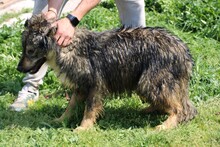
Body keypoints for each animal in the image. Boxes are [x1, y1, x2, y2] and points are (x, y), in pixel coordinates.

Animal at [17, 14, 198, 130]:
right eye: (24, 49)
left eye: (31, 51)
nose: (19, 68)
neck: (68, 47)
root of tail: (184, 52)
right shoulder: (81, 86)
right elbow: (70, 106)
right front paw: (61, 120)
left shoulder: (96, 85)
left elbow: (89, 110)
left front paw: (83, 128)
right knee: (183, 107)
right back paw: (151, 110)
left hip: (149, 82)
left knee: (180, 109)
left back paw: (165, 125)